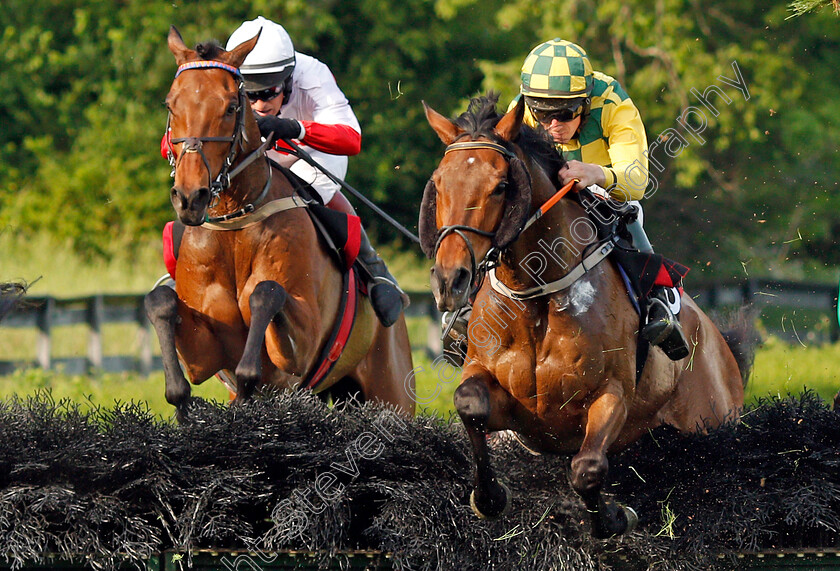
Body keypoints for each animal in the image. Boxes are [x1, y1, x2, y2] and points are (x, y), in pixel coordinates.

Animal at [147, 26, 416, 422]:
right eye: (170, 105)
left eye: (231, 106)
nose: (190, 197)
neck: (237, 220)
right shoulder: (206, 352)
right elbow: (161, 302)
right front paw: (183, 402)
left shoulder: (302, 345)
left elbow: (266, 292)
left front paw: (247, 384)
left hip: (392, 390)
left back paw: (384, 290)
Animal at [420, 96, 748, 540]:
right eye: (439, 184)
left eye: (501, 186)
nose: (449, 280)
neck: (537, 299)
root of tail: (721, 346)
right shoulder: (516, 412)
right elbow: (469, 402)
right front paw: (488, 497)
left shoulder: (610, 396)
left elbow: (587, 468)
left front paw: (613, 518)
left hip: (710, 417)